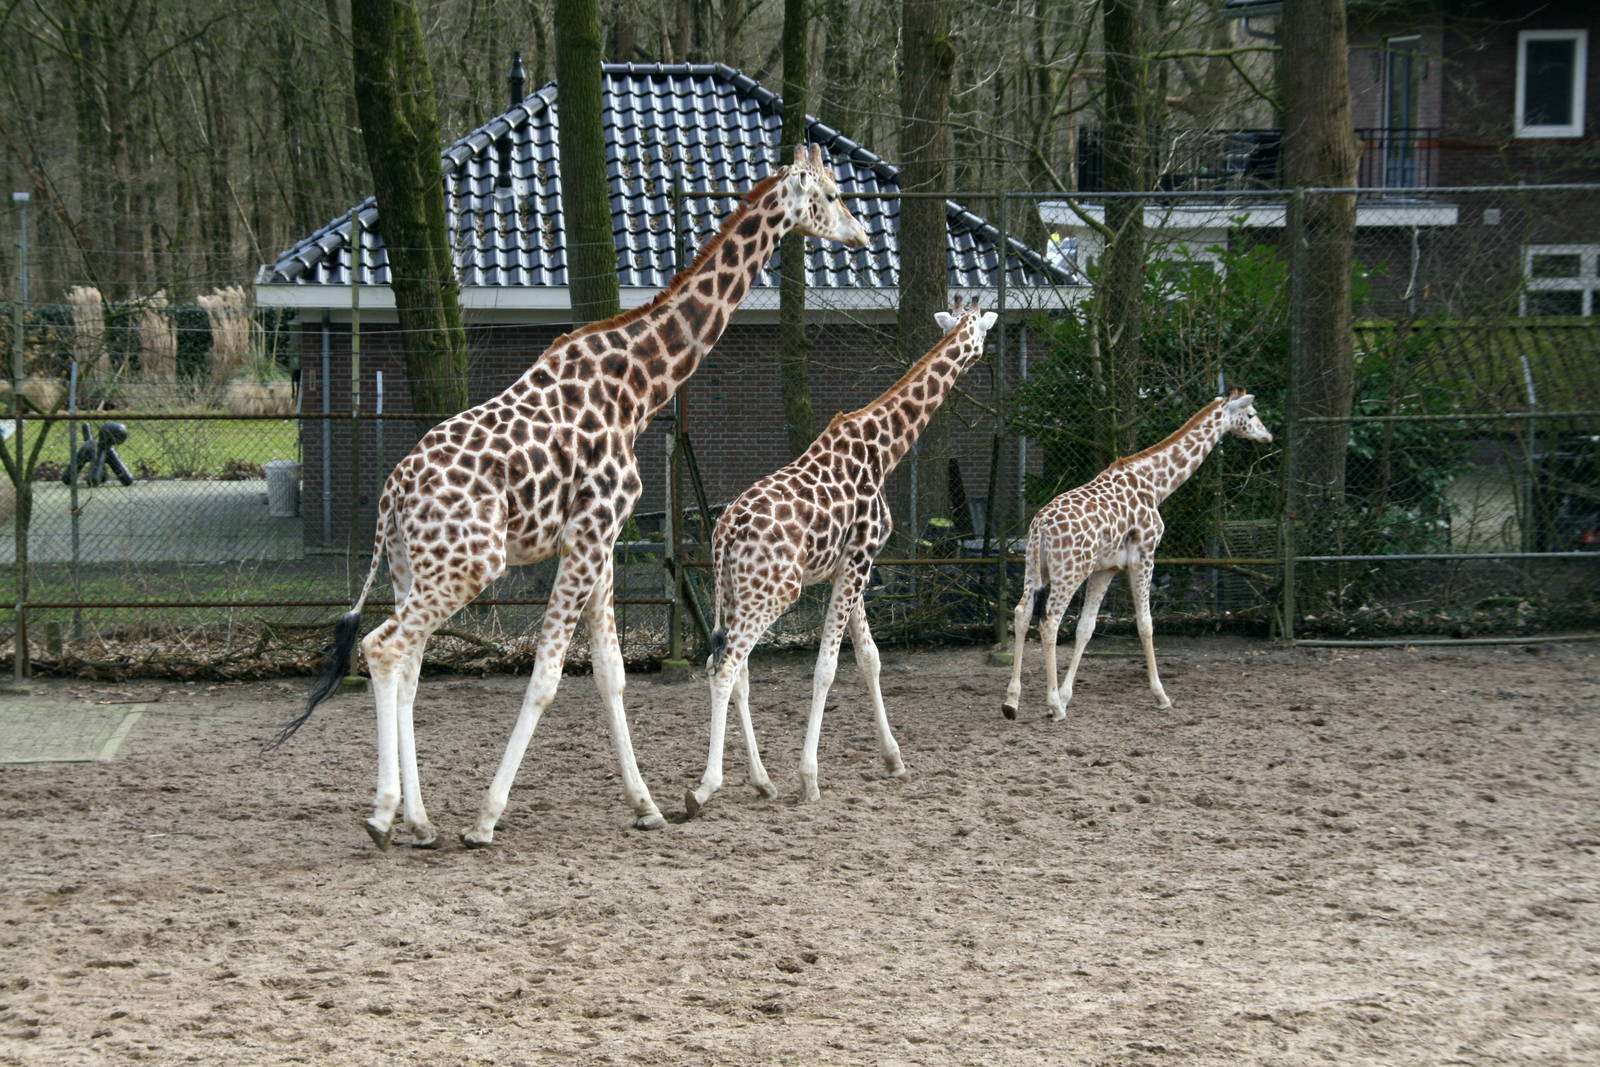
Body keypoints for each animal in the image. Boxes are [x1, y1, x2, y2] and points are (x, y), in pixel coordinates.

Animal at [265, 146, 869, 849]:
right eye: (832, 194)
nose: (860, 235)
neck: (640, 388)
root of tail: (393, 491)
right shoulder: (589, 533)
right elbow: (548, 676)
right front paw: (486, 819)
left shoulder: (601, 537)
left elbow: (611, 672)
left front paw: (647, 805)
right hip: (468, 565)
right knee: (384, 649)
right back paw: (386, 814)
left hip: (410, 567)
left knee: (409, 665)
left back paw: (419, 820)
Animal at [685, 298, 999, 817]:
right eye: (980, 331)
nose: (978, 357)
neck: (886, 448)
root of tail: (724, 531)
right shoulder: (859, 560)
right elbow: (827, 668)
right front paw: (810, 779)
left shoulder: (849, 565)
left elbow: (870, 657)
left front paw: (893, 759)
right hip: (774, 591)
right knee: (725, 667)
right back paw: (705, 788)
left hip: (733, 592)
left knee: (736, 667)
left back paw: (762, 782)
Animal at [1000, 388, 1273, 721]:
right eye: (1251, 414)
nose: (1268, 436)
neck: (1157, 484)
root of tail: (1039, 525)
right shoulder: (1144, 555)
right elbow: (1145, 623)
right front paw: (1161, 695)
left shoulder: (1106, 569)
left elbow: (1086, 628)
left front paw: (1066, 695)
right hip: (1070, 570)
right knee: (1050, 621)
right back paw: (1053, 706)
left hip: (1035, 567)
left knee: (1022, 613)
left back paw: (1012, 702)